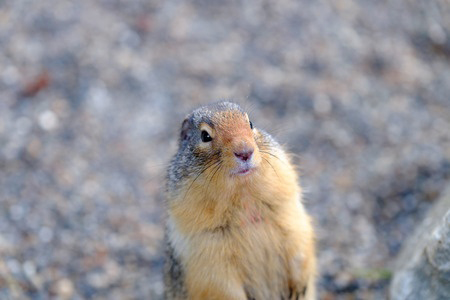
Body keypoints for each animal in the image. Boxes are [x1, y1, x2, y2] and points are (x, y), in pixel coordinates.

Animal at [163, 102, 314, 298]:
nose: (245, 152)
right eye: (205, 136)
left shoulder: (291, 216)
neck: (243, 197)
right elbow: (222, 287)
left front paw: (299, 288)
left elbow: (300, 248)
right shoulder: (208, 257)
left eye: (250, 123)